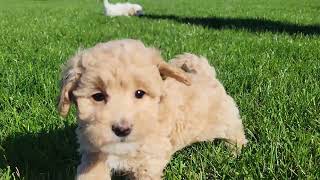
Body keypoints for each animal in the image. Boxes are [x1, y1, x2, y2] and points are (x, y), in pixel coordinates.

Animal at [58, 39, 248, 180]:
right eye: (98, 96)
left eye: (139, 93)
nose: (122, 129)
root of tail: (205, 73)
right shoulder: (93, 150)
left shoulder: (149, 161)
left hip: (224, 118)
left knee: (235, 131)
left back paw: (233, 152)